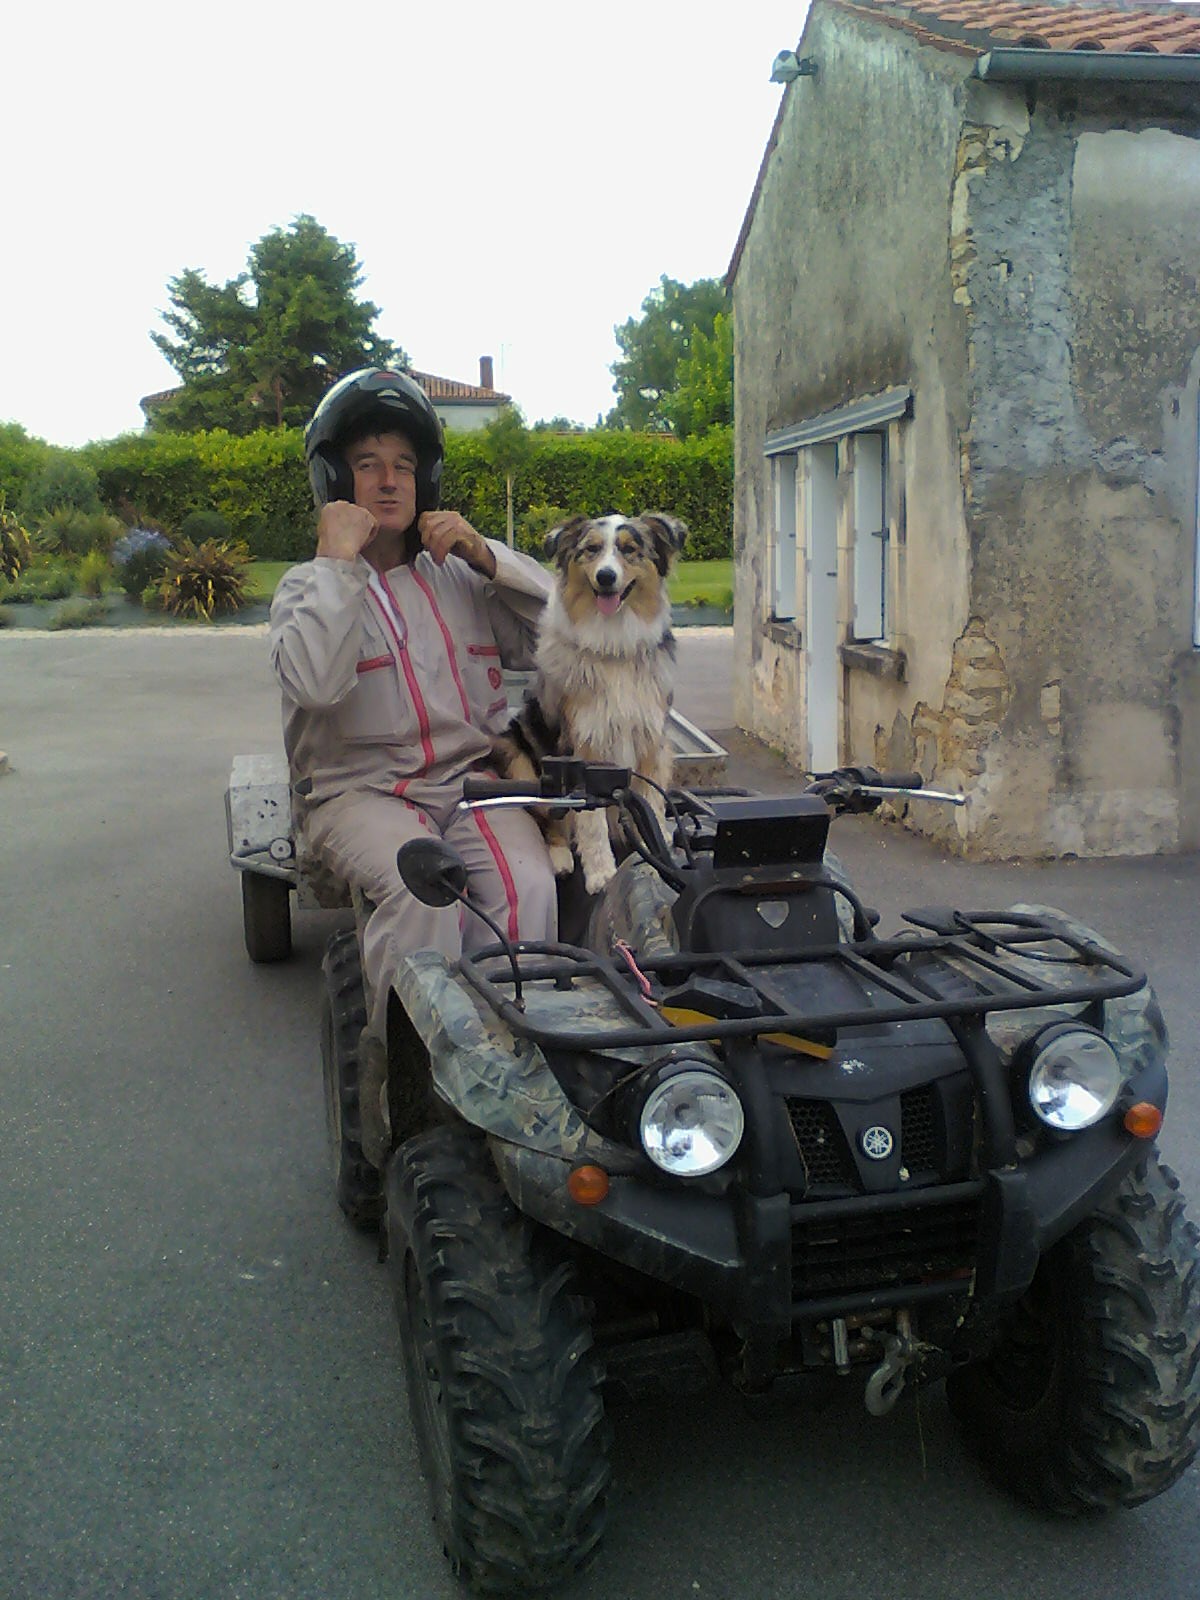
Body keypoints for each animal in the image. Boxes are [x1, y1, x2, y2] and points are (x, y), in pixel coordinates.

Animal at [496, 511, 688, 895]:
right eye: (592, 549)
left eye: (629, 549)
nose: (606, 576)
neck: (614, 642)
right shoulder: (581, 746)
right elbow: (590, 820)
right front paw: (601, 874)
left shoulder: (651, 742)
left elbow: (652, 805)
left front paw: (658, 858)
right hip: (518, 756)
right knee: (551, 822)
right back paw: (560, 858)